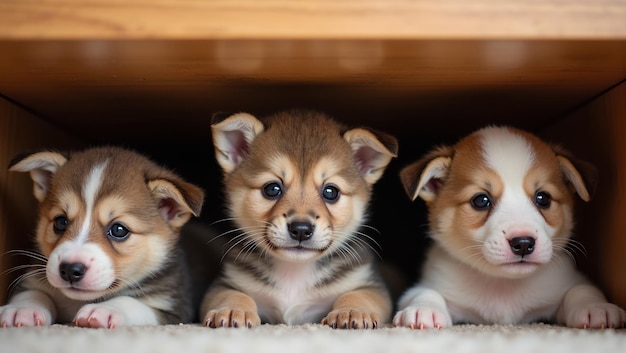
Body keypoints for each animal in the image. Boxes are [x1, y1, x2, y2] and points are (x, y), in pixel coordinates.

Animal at [0, 146, 204, 328]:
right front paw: (21, 309)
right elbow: (33, 293)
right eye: (60, 222)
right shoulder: (32, 282)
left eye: (119, 230)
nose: (70, 269)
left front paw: (106, 310)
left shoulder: (174, 307)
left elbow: (132, 302)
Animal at [200, 109, 394, 328]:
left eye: (331, 192)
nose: (301, 229)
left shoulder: (370, 286)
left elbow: (358, 295)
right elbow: (232, 294)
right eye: (272, 189)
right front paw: (233, 309)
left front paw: (353, 311)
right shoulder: (226, 283)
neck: (294, 272)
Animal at [394, 126, 624, 328]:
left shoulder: (567, 282)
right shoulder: (428, 284)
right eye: (481, 200)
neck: (504, 285)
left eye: (543, 198)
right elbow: (425, 292)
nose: (523, 243)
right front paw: (423, 310)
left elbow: (582, 290)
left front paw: (597, 307)